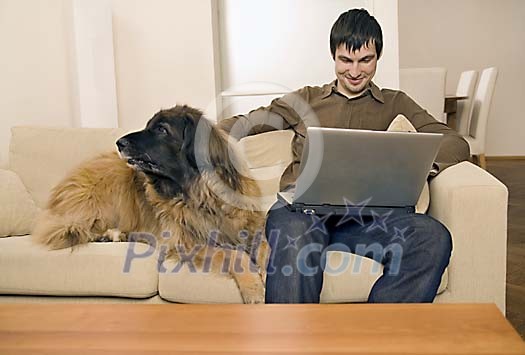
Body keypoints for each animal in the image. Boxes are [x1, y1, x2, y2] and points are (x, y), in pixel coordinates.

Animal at [32, 105, 268, 304]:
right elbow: (234, 255)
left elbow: (265, 248)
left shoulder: (252, 227)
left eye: (162, 129)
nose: (119, 143)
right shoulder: (187, 244)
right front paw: (254, 289)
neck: (199, 192)